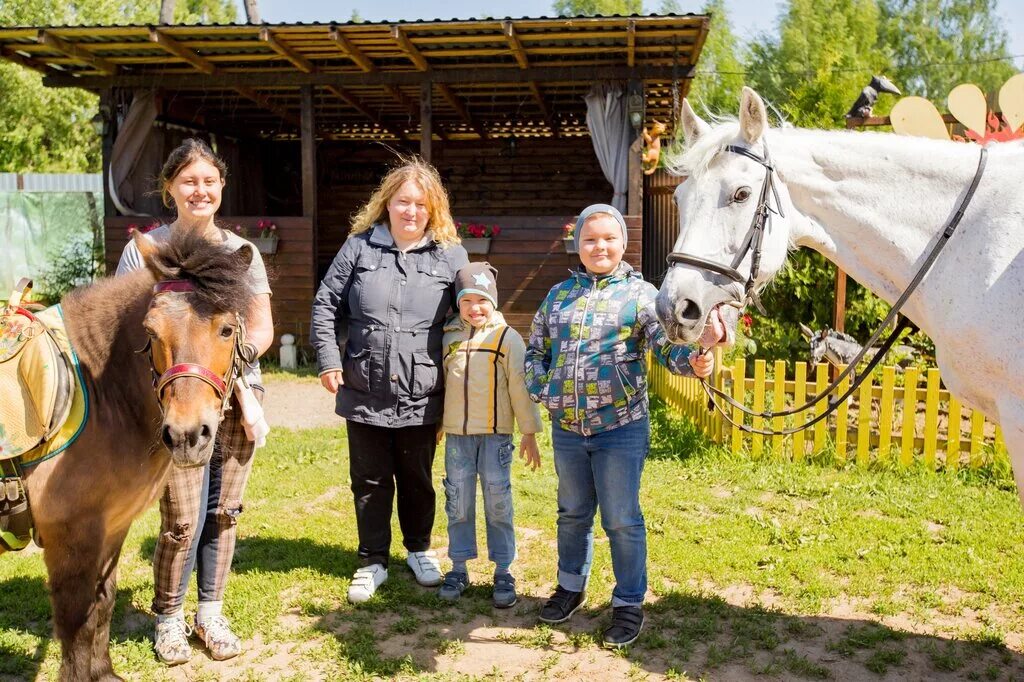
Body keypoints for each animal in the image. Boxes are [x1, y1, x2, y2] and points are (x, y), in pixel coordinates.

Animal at [11, 229, 254, 679]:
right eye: (152, 332)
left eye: (227, 329)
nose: (187, 435)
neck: (98, 393)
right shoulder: (70, 538)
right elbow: (75, 623)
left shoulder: (111, 529)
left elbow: (102, 606)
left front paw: (104, 673)